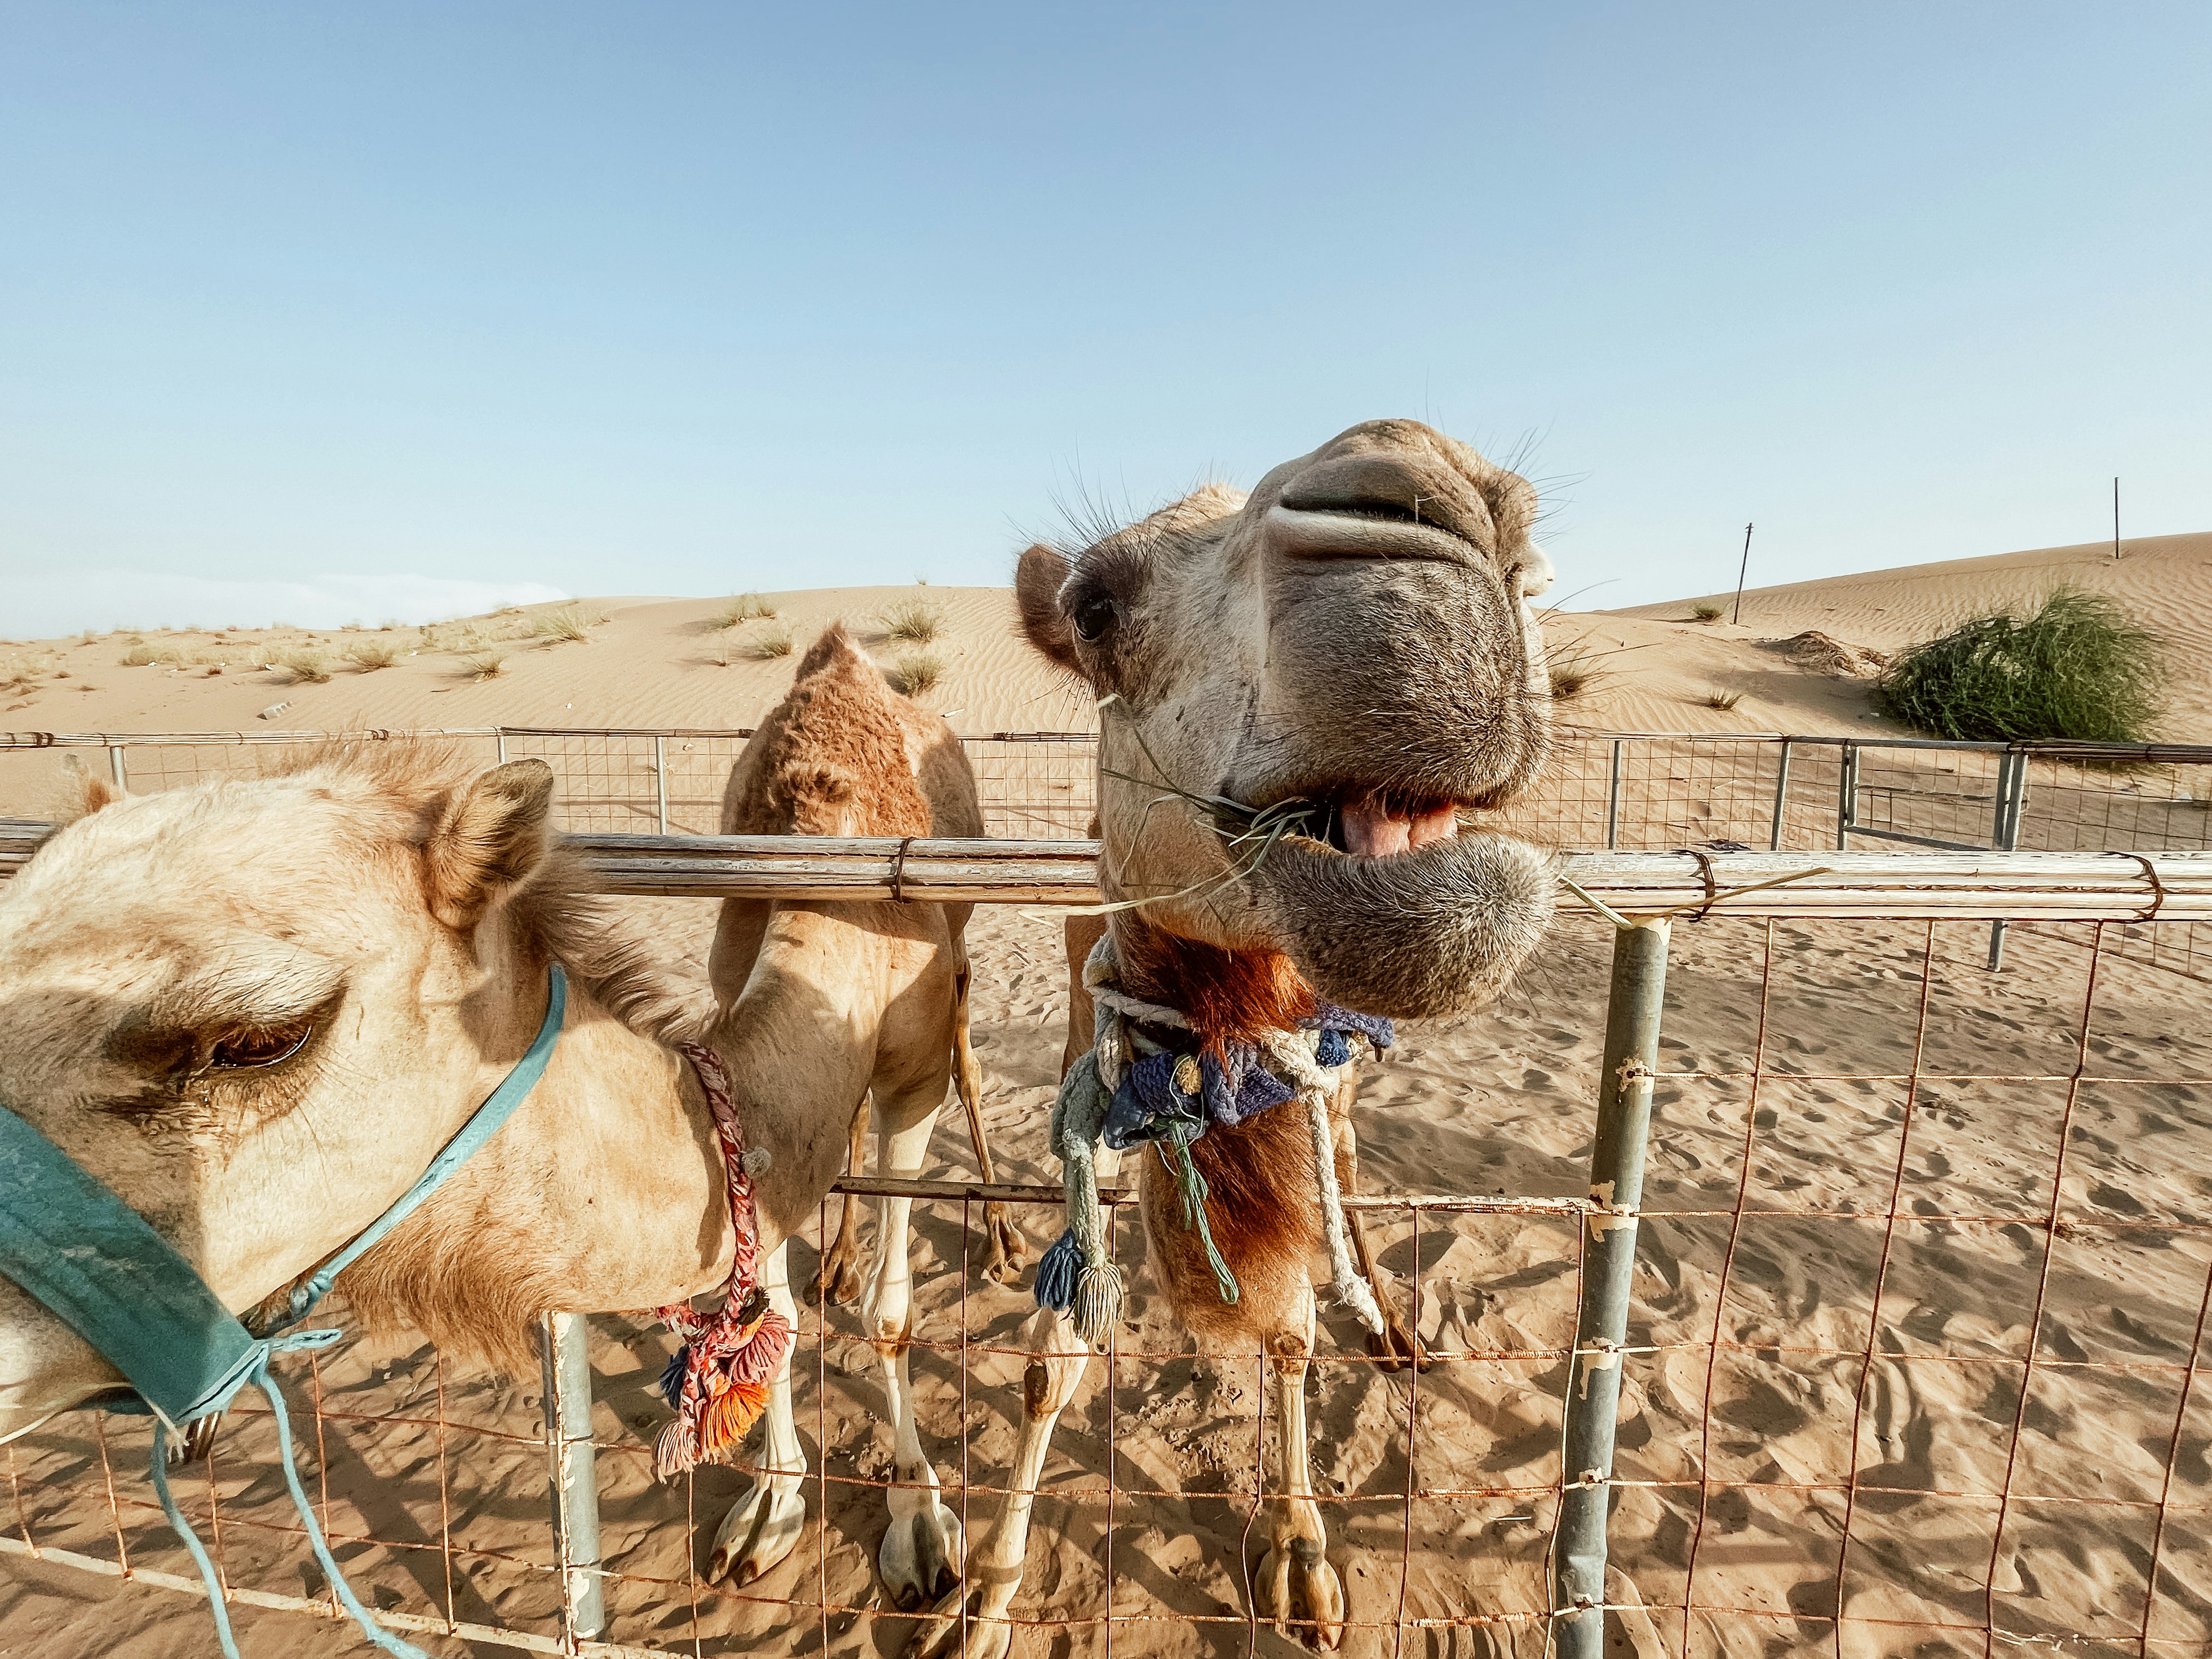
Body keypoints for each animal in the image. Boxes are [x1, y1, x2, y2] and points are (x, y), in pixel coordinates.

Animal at [0, 628, 990, 1619]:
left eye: (261, 1038)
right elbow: (769, 1303)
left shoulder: (914, 1079)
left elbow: (891, 1313)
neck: (840, 905)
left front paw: (918, 1522)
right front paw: (771, 1507)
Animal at [915, 415, 1557, 1654]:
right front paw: (981, 1597)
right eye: (1094, 606)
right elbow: (1052, 1358)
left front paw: (1301, 1554)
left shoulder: (1301, 1088)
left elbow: (1292, 1324)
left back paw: (1391, 1322)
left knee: (1347, 1173)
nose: (1444, 498)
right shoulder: (1097, 1084)